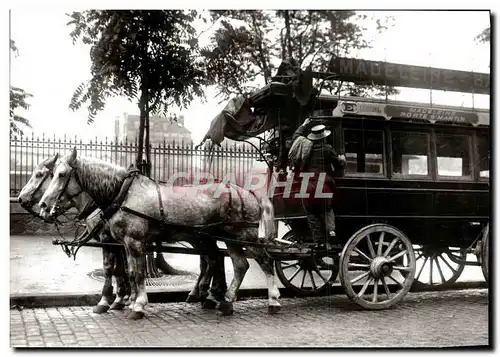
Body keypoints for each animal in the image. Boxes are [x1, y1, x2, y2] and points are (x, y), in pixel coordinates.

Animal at [39, 147, 280, 320]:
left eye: (61, 174)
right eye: (51, 174)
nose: (43, 205)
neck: (122, 193)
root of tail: (248, 192)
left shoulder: (133, 241)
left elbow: (135, 273)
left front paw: (136, 305)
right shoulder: (122, 243)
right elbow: (125, 271)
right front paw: (124, 300)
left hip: (245, 235)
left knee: (265, 261)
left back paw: (273, 300)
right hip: (224, 237)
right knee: (237, 264)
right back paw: (225, 301)